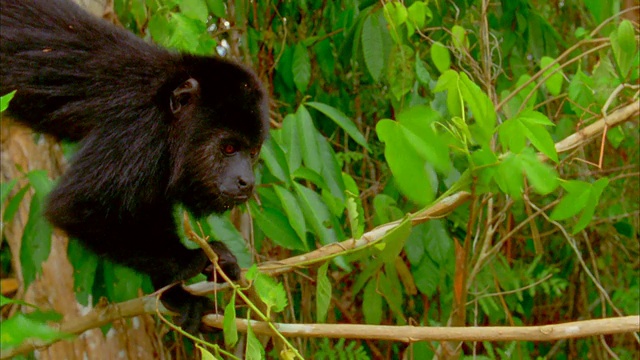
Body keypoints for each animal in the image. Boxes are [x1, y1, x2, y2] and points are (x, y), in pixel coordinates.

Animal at [0, 0, 268, 334]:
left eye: (253, 151)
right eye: (229, 148)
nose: (247, 180)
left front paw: (180, 294)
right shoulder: (139, 130)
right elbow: (75, 207)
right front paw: (190, 260)